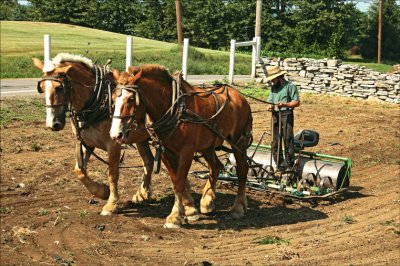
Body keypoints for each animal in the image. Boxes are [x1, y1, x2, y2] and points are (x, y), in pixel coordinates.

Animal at [31, 53, 155, 215]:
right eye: (42, 88)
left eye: (58, 88)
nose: (53, 123)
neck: (98, 100)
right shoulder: (87, 143)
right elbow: (79, 170)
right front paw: (102, 191)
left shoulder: (113, 144)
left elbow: (113, 173)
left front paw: (111, 204)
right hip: (141, 139)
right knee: (149, 161)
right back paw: (142, 194)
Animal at [111, 65, 252, 228]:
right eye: (113, 98)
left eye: (131, 99)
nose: (116, 134)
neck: (175, 109)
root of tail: (240, 97)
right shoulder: (164, 151)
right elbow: (176, 181)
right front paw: (188, 210)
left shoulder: (187, 151)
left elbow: (179, 182)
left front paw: (175, 217)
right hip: (207, 146)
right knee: (215, 167)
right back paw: (207, 202)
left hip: (238, 141)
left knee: (242, 170)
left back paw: (238, 207)